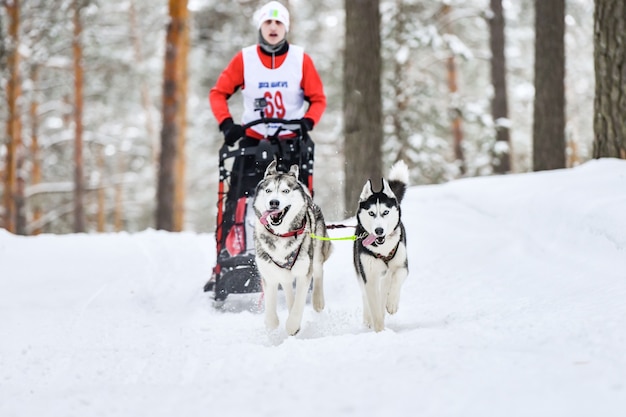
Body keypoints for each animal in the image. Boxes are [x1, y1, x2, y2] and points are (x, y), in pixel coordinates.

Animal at [252, 159, 332, 334]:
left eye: (285, 191)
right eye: (268, 190)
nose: (274, 202)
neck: (281, 235)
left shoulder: (304, 273)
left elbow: (298, 305)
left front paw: (292, 326)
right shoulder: (268, 275)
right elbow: (271, 311)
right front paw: (272, 322)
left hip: (316, 252)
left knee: (318, 271)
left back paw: (318, 301)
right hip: (284, 273)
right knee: (288, 287)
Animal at [354, 160, 408, 332]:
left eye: (385, 212)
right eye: (371, 213)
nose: (379, 231)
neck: (382, 250)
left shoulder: (402, 266)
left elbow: (397, 279)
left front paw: (392, 304)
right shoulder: (369, 277)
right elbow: (374, 306)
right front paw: (379, 331)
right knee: (366, 296)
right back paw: (368, 320)